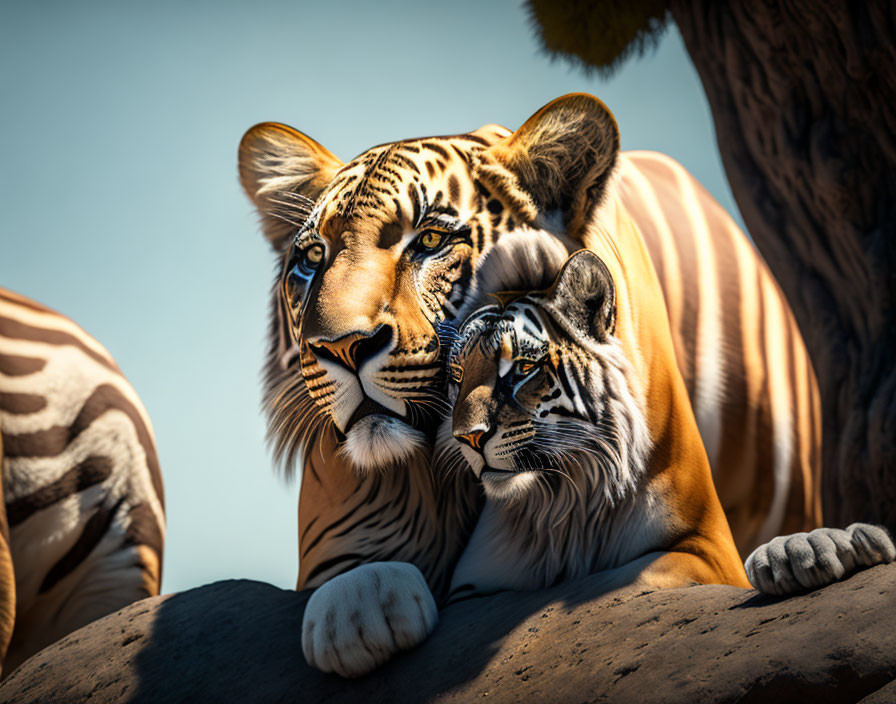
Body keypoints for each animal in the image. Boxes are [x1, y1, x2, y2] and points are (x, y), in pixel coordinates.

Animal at [236, 92, 820, 676]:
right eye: (313, 258)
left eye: (429, 241)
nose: (341, 347)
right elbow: (351, 585)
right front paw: (362, 611)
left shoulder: (702, 541)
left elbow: (611, 580)